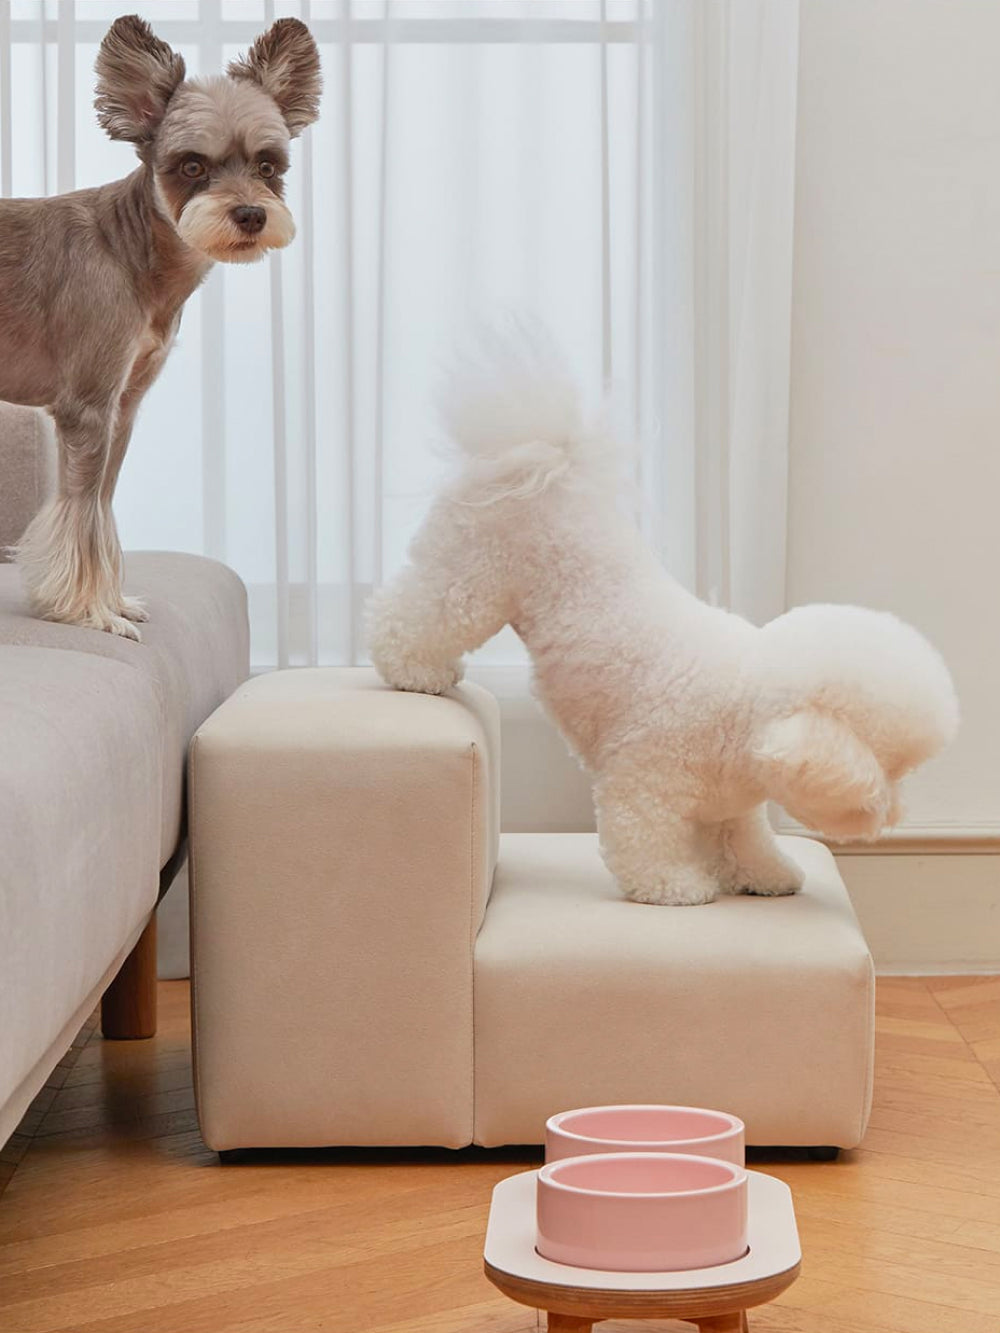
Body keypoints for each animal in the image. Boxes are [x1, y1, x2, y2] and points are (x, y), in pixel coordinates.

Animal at [0, 14, 321, 639]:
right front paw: (90, 613)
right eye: (192, 166)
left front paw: (111, 601)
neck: (131, 250)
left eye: (268, 166)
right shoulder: (87, 409)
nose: (251, 214)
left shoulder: (123, 409)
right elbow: (79, 515)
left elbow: (101, 511)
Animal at [365, 330, 954, 906]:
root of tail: (541, 460)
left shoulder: (731, 805)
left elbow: (745, 839)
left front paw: (768, 875)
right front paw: (676, 885)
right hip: (470, 573)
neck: (746, 709)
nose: (895, 814)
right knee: (413, 614)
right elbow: (645, 839)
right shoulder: (643, 781)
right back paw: (416, 672)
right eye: (890, 772)